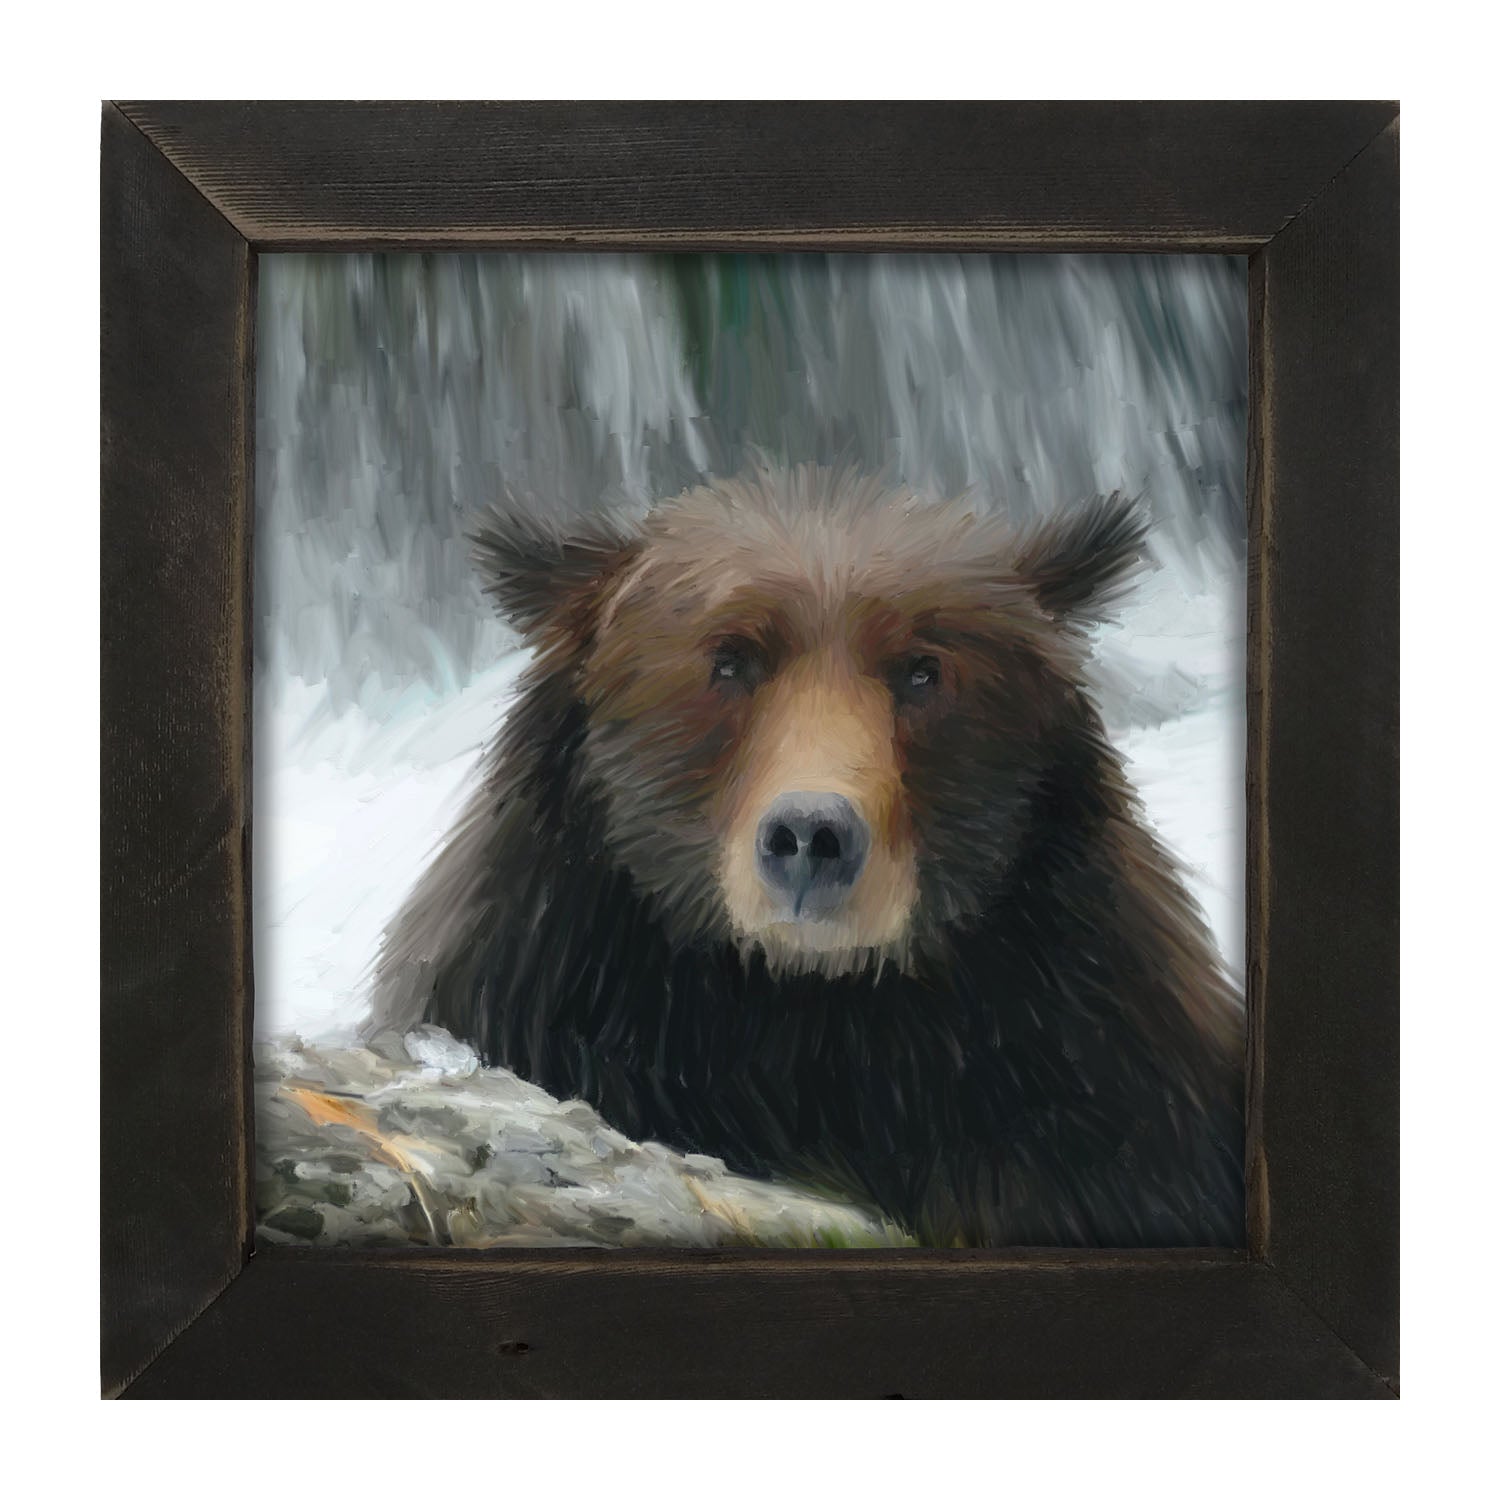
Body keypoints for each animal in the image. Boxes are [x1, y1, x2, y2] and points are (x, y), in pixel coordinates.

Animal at [372, 465, 1245, 1248]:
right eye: (729, 659)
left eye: (923, 669)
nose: (810, 837)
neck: (808, 1015)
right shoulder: (544, 989)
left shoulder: (1094, 1070)